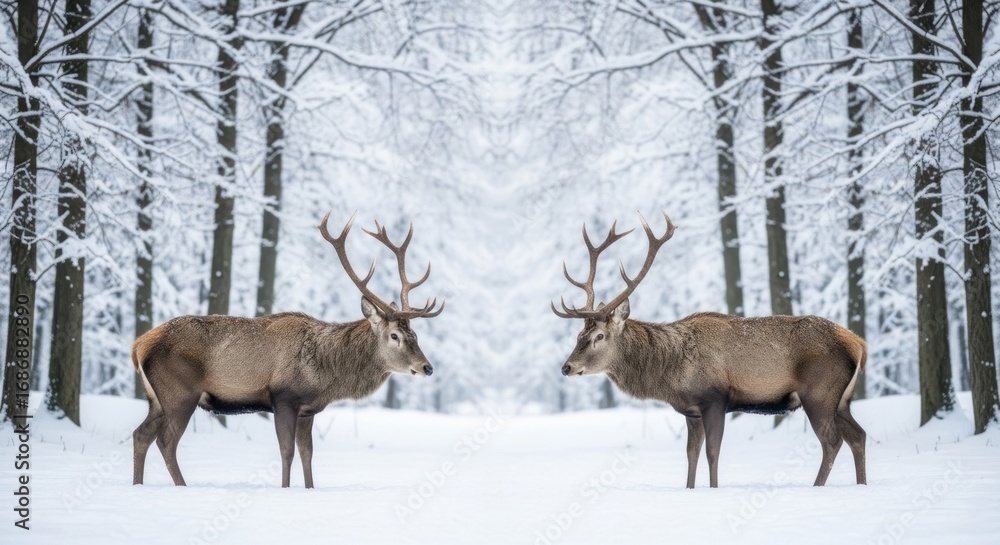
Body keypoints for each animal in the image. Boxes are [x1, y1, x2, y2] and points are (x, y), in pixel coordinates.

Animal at [131, 212, 444, 488]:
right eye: (395, 336)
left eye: (415, 334)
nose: (427, 367)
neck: (326, 374)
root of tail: (139, 344)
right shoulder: (283, 398)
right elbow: (287, 452)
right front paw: (285, 490)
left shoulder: (308, 410)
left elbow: (307, 454)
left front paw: (309, 489)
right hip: (180, 393)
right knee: (165, 441)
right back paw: (181, 487)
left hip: (155, 398)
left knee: (140, 435)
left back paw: (138, 485)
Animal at [552, 211, 867, 488]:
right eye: (579, 334)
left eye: (599, 336)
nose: (566, 367)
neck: (671, 374)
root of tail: (858, 343)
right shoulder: (691, 411)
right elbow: (691, 455)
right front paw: (691, 490)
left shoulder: (715, 398)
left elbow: (712, 453)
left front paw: (713, 491)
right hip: (843, 399)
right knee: (859, 436)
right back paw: (861, 485)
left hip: (819, 393)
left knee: (832, 441)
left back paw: (818, 487)